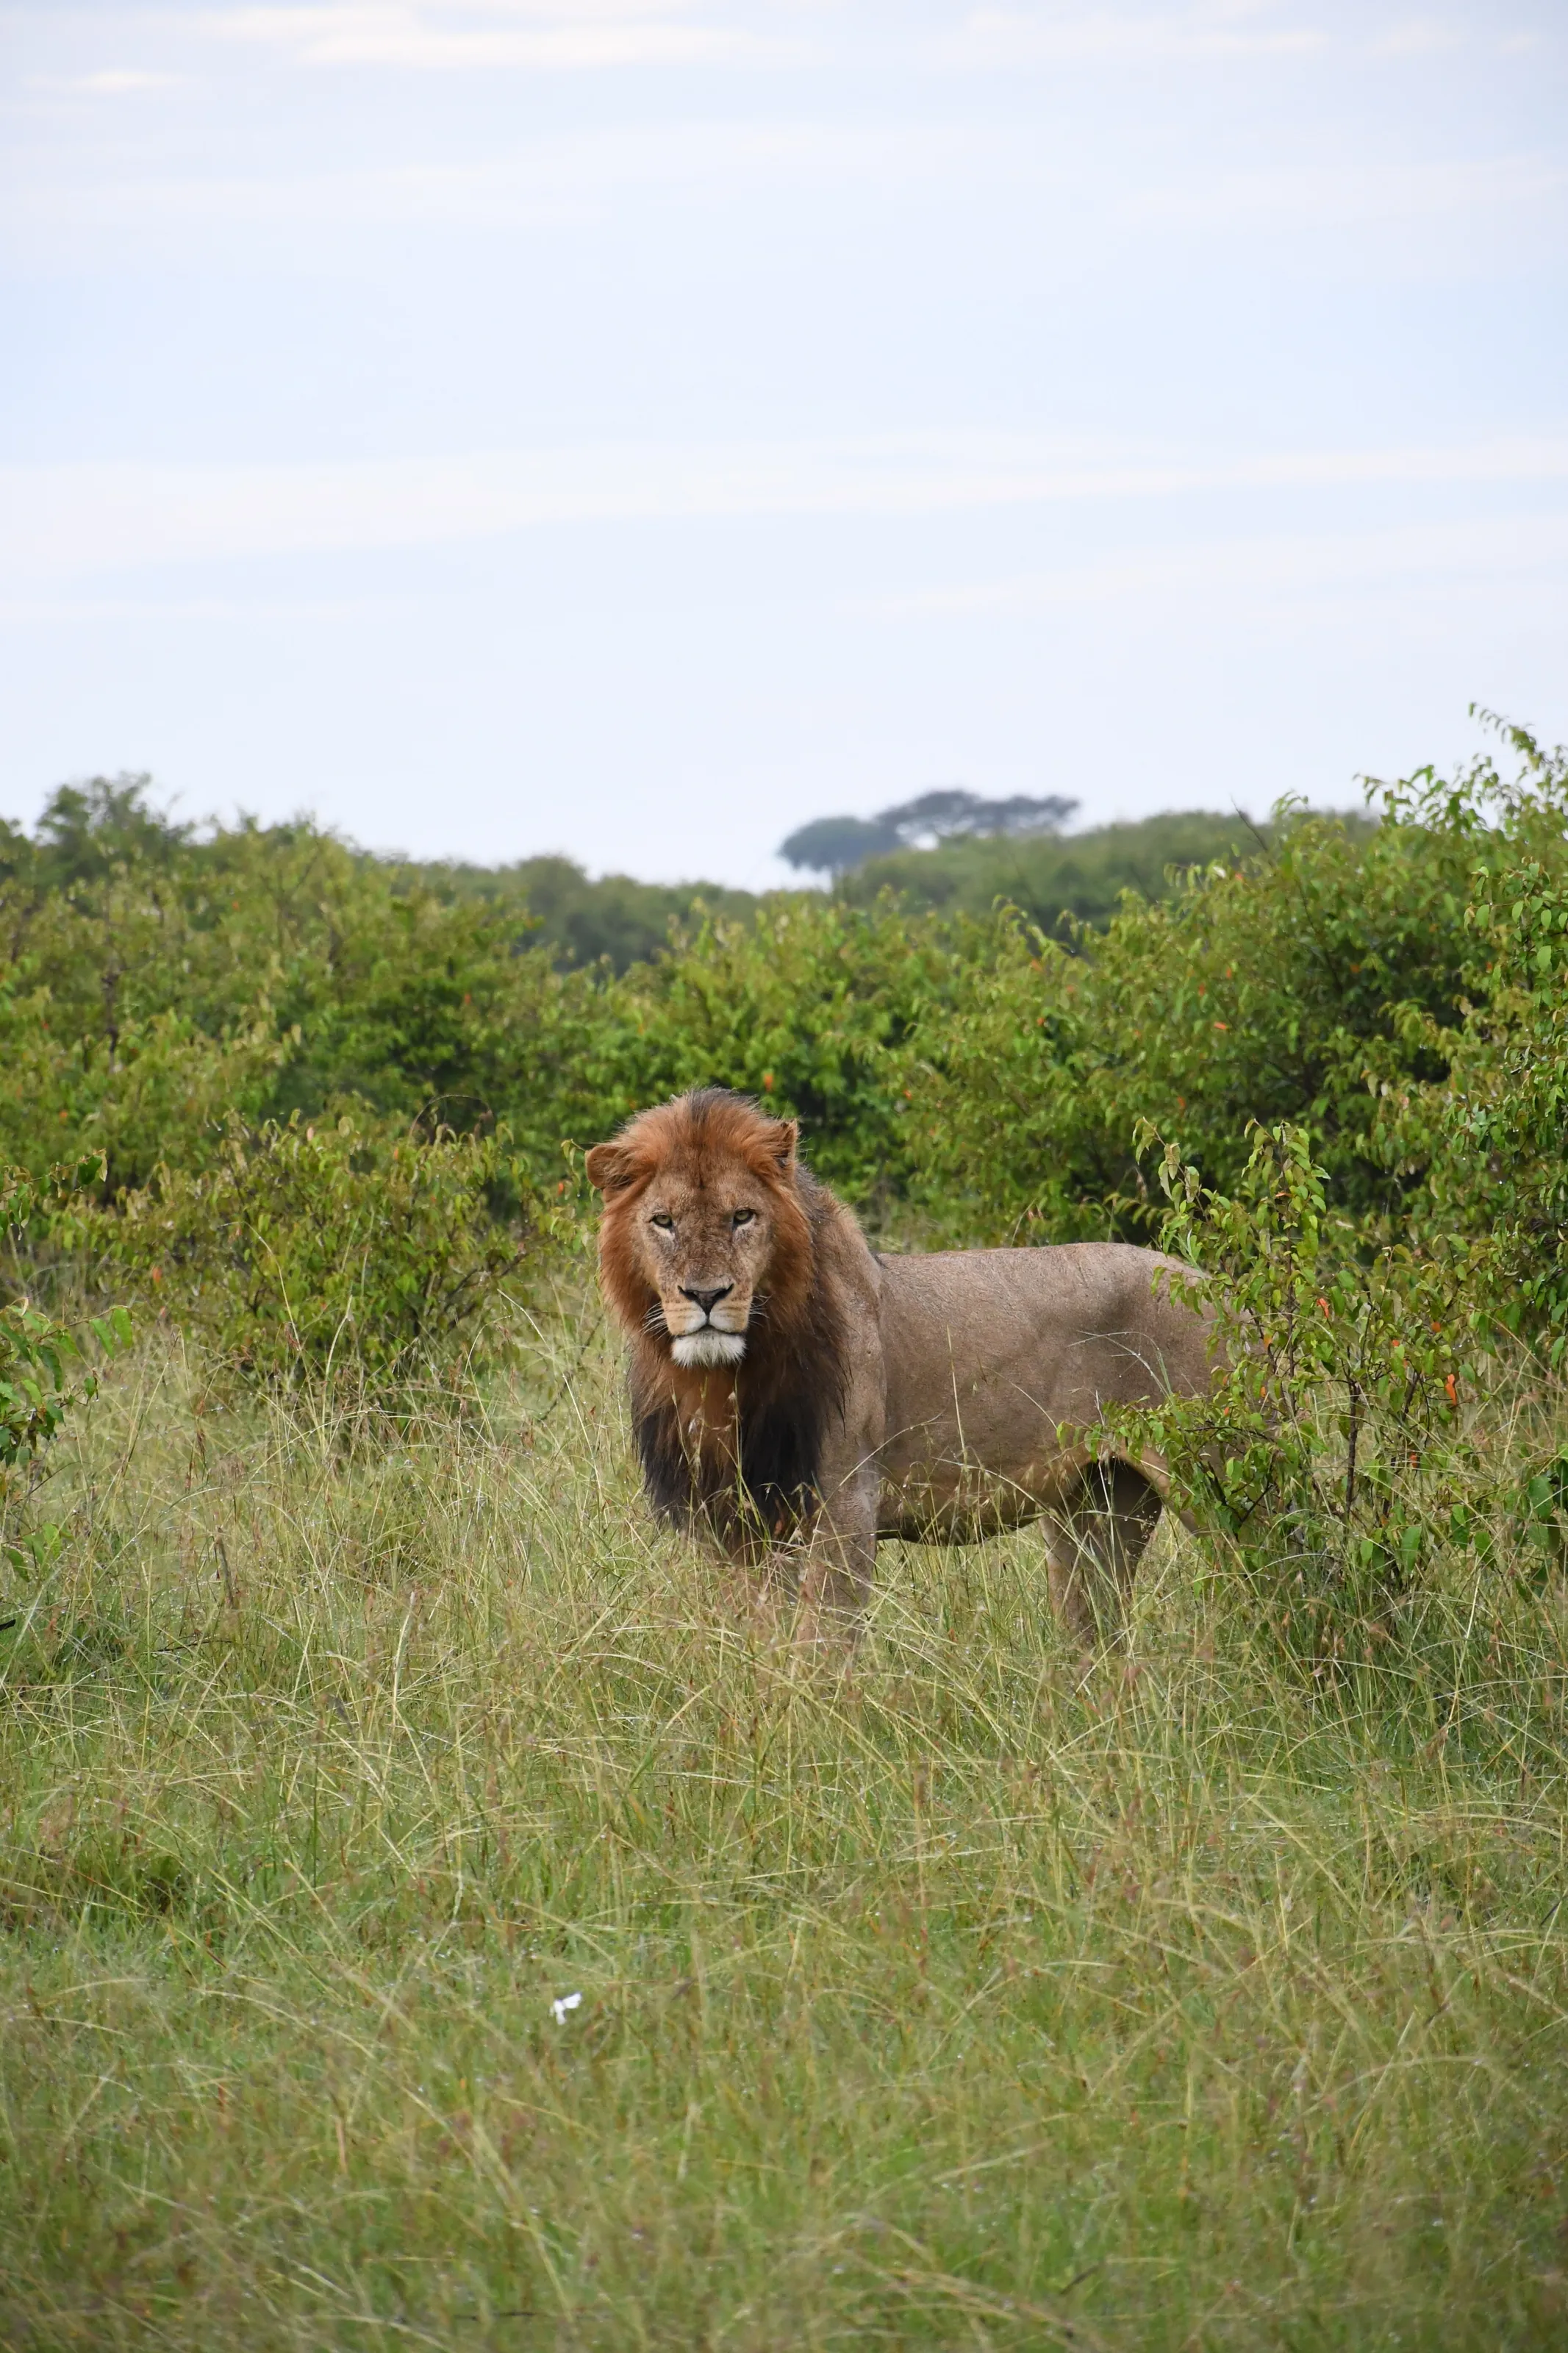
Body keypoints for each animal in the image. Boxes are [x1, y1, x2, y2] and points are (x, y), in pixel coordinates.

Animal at [585, 1087, 1219, 1646]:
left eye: (743, 1216)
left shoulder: (845, 1505)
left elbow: (820, 1646)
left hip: (1212, 1484)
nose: (706, 1295)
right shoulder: (734, 1524)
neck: (725, 1380)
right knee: (1098, 1638)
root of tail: (1218, 1288)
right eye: (663, 1221)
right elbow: (756, 1638)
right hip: (1097, 1507)